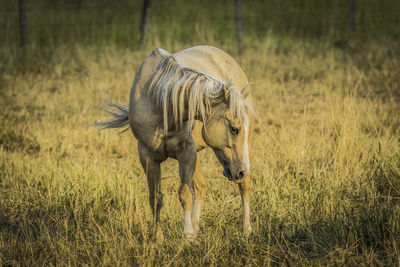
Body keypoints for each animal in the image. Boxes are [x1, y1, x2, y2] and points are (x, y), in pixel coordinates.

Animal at [95, 45, 255, 242]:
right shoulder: (147, 156)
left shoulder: (186, 153)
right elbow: (155, 197)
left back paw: (246, 229)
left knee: (244, 186)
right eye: (234, 128)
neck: (160, 103)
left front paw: (188, 236)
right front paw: (158, 238)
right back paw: (196, 226)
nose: (241, 171)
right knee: (201, 187)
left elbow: (184, 194)